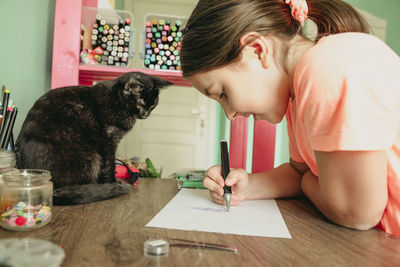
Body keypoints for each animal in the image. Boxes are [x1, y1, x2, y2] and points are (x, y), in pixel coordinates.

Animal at [16, 72, 172, 206]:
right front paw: (113, 183)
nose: (145, 115)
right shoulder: (109, 141)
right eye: (139, 105)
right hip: (90, 158)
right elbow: (109, 165)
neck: (117, 100)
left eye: (153, 105)